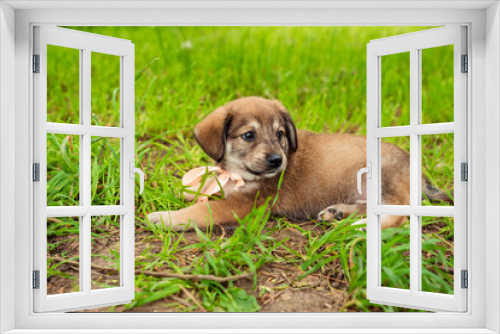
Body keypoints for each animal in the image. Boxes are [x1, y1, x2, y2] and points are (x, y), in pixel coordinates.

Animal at [147, 96, 450, 230]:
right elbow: (204, 186)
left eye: (280, 134)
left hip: (381, 179)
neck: (238, 174)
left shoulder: (245, 204)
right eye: (249, 135)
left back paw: (358, 226)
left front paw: (164, 217)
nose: (276, 160)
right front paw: (180, 190)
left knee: (398, 216)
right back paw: (337, 213)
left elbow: (203, 210)